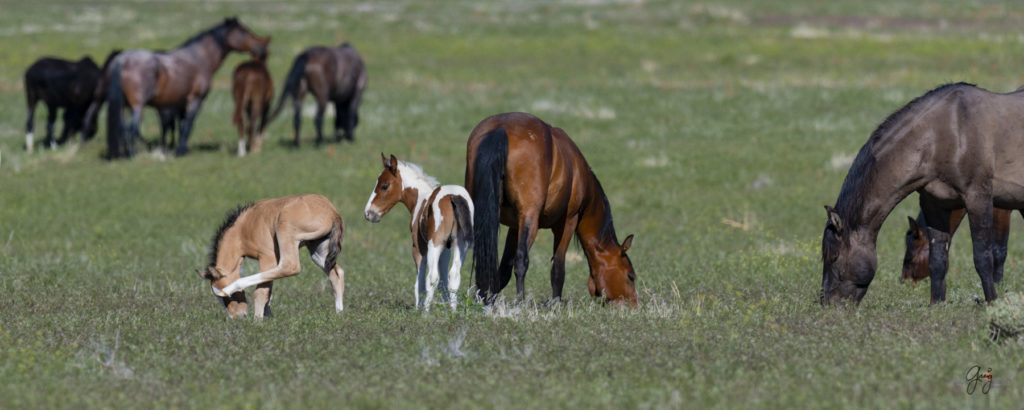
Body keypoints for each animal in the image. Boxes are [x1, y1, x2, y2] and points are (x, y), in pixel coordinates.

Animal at [195, 193, 348, 317]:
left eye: (228, 298)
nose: (238, 317)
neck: (244, 227)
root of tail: (332, 212)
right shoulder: (274, 259)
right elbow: (268, 289)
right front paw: (268, 319)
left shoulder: (266, 256)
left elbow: (261, 291)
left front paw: (257, 322)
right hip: (318, 252)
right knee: (337, 273)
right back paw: (339, 314)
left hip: (286, 234)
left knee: (290, 267)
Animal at [364, 153, 475, 311]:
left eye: (384, 186)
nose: (368, 213)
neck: (421, 200)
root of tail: (453, 197)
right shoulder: (446, 249)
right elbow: (444, 283)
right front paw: (446, 310)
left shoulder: (419, 248)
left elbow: (420, 283)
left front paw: (419, 308)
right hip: (460, 245)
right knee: (454, 275)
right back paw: (453, 312)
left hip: (435, 244)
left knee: (432, 277)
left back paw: (425, 313)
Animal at [466, 112, 638, 307]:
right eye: (630, 276)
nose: (635, 305)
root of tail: (500, 128)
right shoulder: (567, 222)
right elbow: (558, 266)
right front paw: (556, 302)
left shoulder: (515, 226)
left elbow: (503, 269)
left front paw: (491, 299)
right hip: (532, 220)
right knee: (521, 260)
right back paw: (521, 301)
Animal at [819, 82, 1024, 303]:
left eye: (834, 257)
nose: (826, 303)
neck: (946, 135)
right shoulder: (935, 204)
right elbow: (938, 260)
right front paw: (937, 304)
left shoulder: (979, 199)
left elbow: (984, 257)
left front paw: (993, 302)